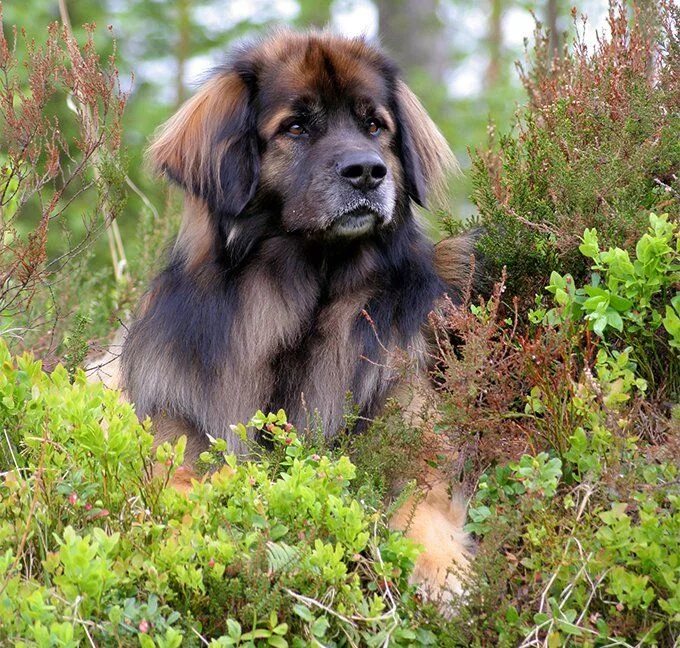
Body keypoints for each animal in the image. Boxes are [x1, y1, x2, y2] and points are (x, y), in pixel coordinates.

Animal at [117, 29, 476, 608]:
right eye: (296, 126)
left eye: (374, 126)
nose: (367, 172)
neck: (307, 302)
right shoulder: (183, 437)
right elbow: (184, 491)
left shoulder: (410, 439)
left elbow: (421, 504)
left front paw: (442, 570)